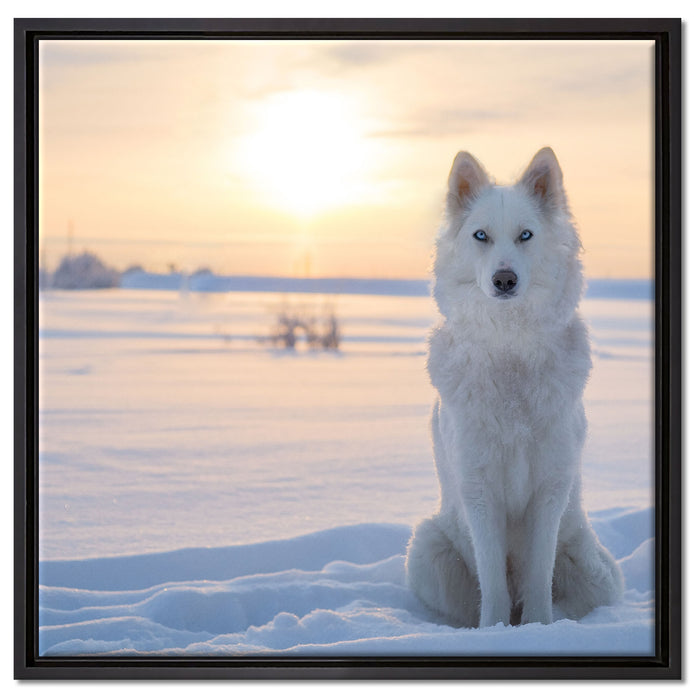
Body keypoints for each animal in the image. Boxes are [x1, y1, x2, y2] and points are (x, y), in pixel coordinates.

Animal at [406, 148, 624, 628]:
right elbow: (493, 582)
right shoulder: (479, 490)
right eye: (480, 236)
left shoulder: (550, 488)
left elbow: (539, 575)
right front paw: (495, 631)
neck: (511, 352)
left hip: (594, 570)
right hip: (427, 550)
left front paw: (538, 628)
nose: (504, 280)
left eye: (525, 235)